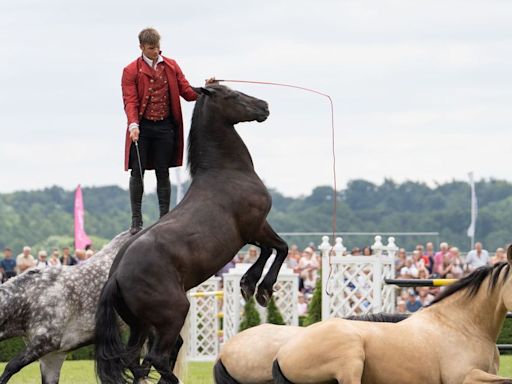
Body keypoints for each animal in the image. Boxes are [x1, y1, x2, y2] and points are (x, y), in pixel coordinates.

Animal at [95, 85, 288, 384]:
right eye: (231, 95)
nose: (263, 106)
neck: (226, 172)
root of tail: (115, 276)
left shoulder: (253, 232)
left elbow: (269, 250)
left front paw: (248, 284)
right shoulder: (255, 227)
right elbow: (280, 248)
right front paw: (261, 289)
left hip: (140, 325)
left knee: (135, 360)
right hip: (173, 315)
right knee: (156, 358)